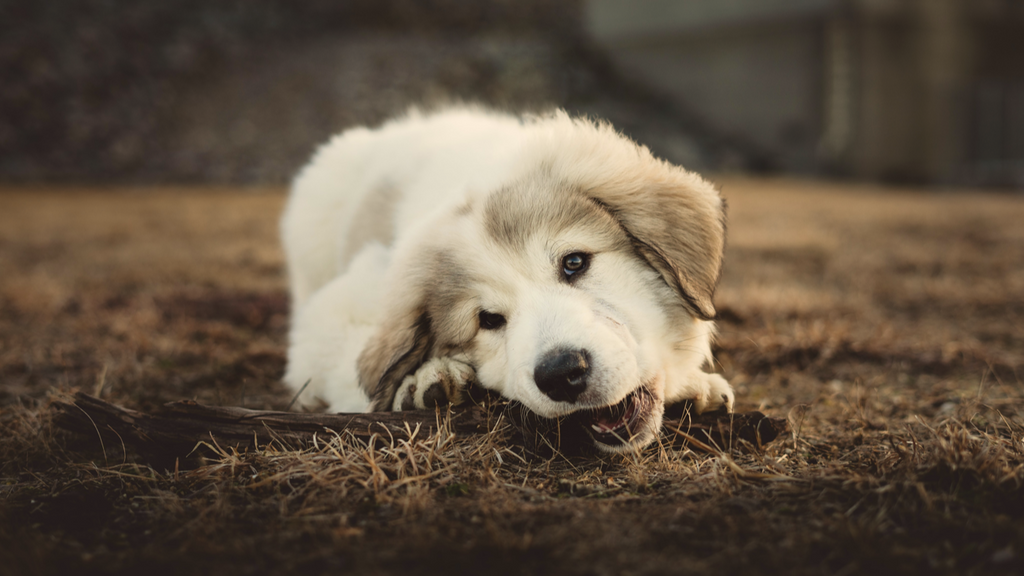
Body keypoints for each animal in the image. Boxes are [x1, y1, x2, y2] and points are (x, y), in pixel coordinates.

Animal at [278, 105, 729, 450]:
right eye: (488, 320)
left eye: (574, 263)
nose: (561, 374)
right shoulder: (337, 308)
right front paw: (423, 380)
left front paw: (696, 383)